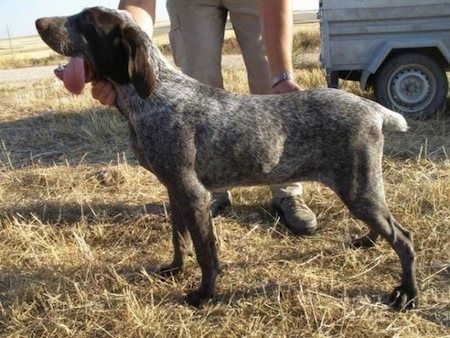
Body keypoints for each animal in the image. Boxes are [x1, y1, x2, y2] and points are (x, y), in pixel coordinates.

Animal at [35, 6, 418, 310]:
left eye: (85, 21)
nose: (39, 21)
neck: (152, 97)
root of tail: (372, 109)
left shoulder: (192, 194)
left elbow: (206, 253)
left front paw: (204, 295)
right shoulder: (175, 189)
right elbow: (179, 239)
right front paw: (175, 270)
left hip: (357, 187)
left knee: (403, 238)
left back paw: (407, 294)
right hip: (359, 189)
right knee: (386, 227)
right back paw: (367, 243)